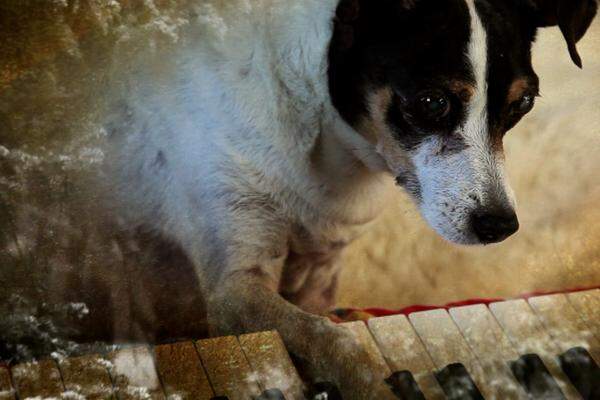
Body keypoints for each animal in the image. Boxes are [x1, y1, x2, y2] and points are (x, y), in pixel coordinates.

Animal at [105, 0, 596, 396]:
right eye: (432, 101)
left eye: (523, 103)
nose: (500, 227)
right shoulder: (235, 289)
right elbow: (334, 340)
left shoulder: (321, 272)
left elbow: (327, 321)